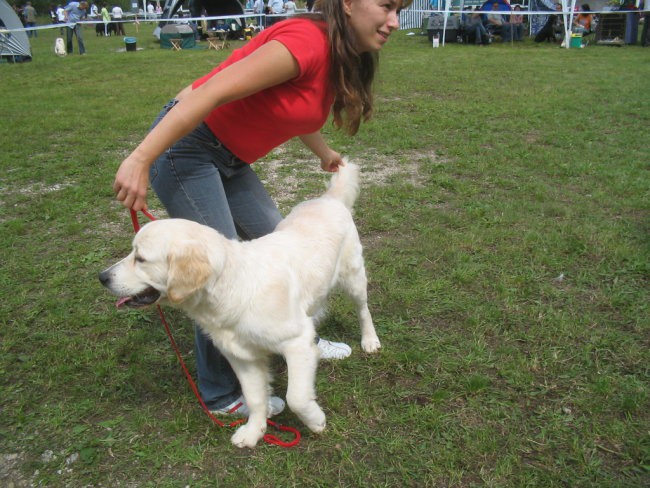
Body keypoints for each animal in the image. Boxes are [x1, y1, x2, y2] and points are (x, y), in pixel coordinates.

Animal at [100, 162, 380, 448]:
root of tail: (328, 199)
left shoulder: (296, 342)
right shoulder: (241, 355)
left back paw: (369, 340)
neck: (231, 287)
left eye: (141, 258)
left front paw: (315, 421)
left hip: (353, 277)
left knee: (363, 310)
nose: (103, 277)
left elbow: (296, 397)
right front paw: (254, 431)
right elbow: (255, 398)